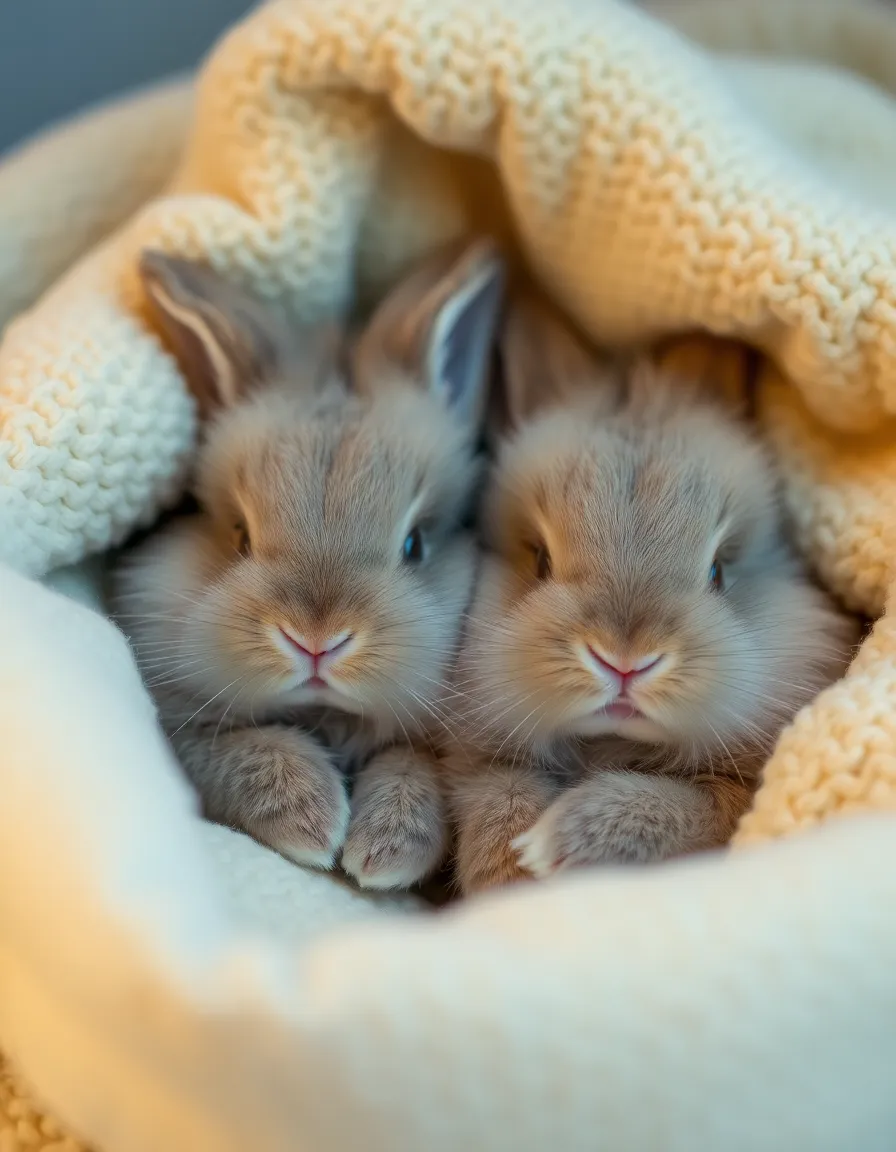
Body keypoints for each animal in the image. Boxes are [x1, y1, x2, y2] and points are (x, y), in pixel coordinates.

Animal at [112, 237, 505, 890]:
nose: (316, 642)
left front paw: (384, 851)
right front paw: (312, 823)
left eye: (415, 545)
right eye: (239, 536)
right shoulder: (183, 731)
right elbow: (254, 752)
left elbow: (411, 770)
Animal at [445, 297, 859, 895]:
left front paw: (550, 846)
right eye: (540, 560)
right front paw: (516, 868)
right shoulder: (480, 760)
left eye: (718, 572)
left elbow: (675, 809)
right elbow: (501, 795)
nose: (624, 662)